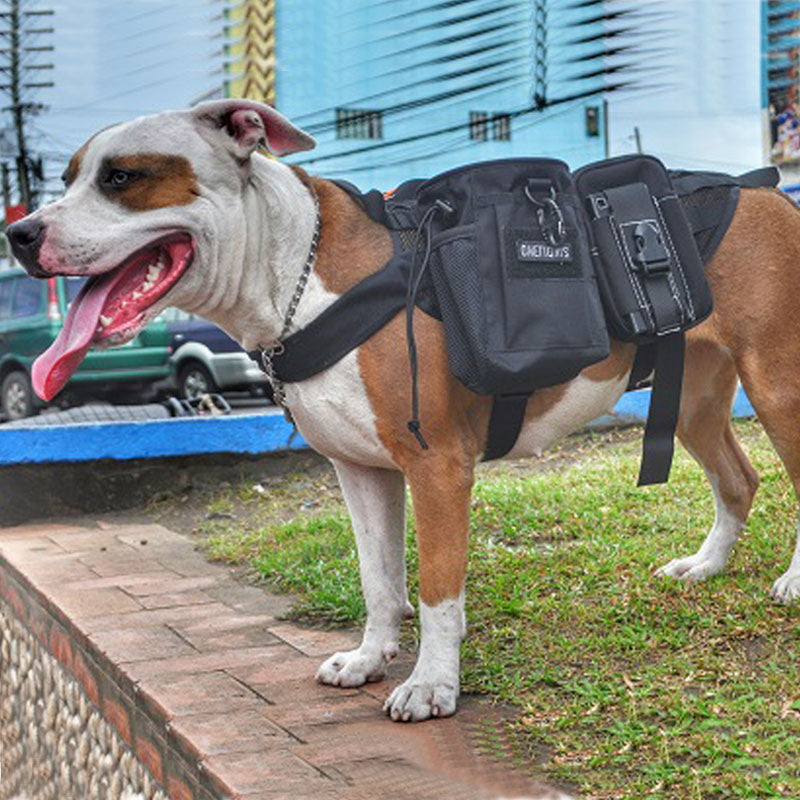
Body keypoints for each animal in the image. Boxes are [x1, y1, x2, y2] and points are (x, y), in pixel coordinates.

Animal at [6, 98, 800, 720]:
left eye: (121, 177)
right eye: (67, 177)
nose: (19, 233)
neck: (292, 276)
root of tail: (768, 189)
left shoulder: (437, 465)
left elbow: (438, 587)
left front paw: (432, 686)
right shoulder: (360, 470)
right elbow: (379, 580)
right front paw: (370, 657)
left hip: (778, 386)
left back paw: (791, 582)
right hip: (694, 396)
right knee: (739, 479)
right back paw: (706, 565)